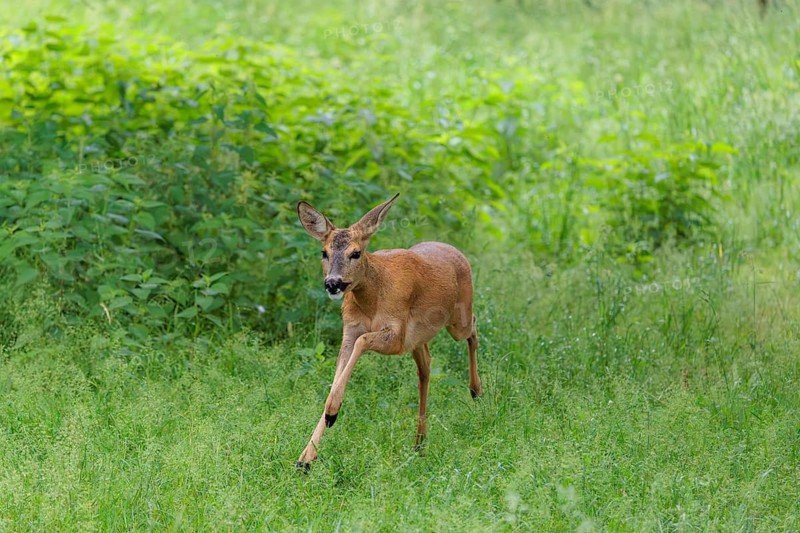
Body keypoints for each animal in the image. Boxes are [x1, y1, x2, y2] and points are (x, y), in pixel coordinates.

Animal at [295, 193, 482, 472]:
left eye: (356, 253)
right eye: (324, 252)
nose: (333, 283)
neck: (371, 299)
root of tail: (455, 250)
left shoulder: (396, 336)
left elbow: (362, 343)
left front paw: (332, 413)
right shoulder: (350, 331)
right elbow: (337, 376)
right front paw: (306, 458)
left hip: (457, 320)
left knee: (473, 327)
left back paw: (476, 391)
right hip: (418, 339)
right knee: (426, 367)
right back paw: (419, 443)